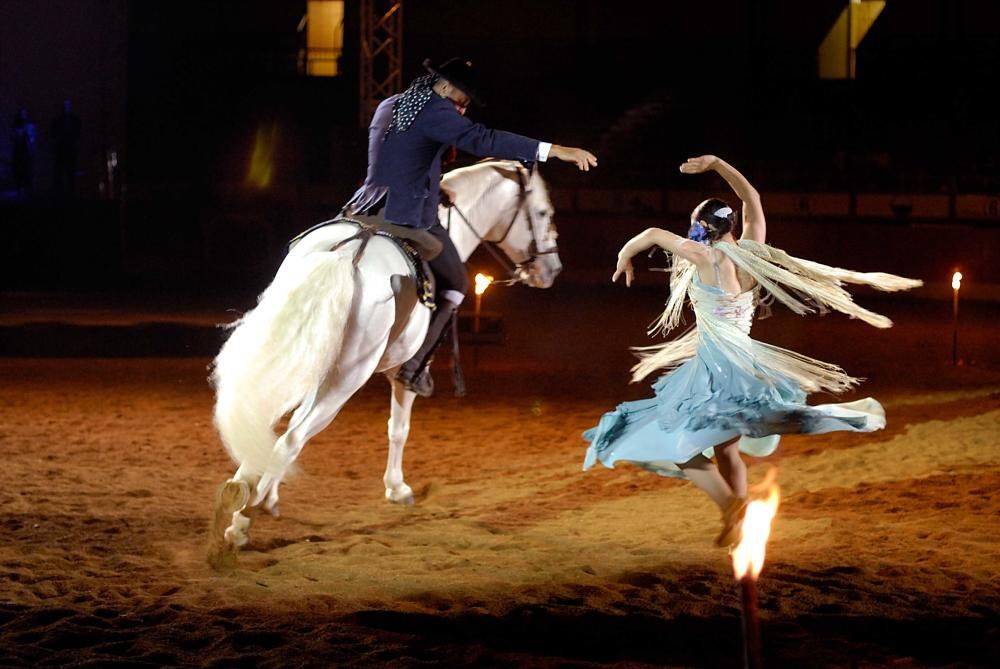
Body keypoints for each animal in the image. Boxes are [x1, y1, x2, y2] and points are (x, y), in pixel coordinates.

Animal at [209, 162, 564, 564]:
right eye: (543, 213)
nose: (552, 269)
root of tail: (346, 254)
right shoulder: (401, 376)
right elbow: (398, 429)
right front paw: (397, 488)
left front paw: (269, 494)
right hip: (347, 378)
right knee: (292, 438)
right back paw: (242, 524)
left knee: (269, 422)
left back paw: (242, 493)